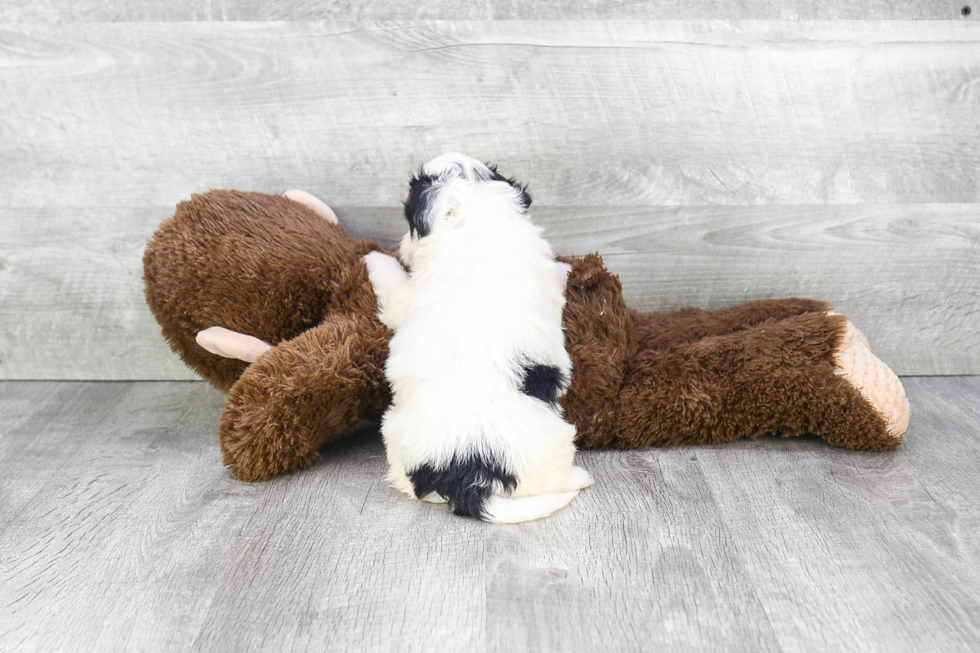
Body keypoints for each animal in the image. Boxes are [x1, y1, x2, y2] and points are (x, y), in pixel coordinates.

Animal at [364, 153, 592, 524]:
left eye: (410, 220)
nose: (402, 245)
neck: (474, 217)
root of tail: (472, 471)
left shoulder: (406, 297)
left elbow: (392, 282)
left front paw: (373, 257)